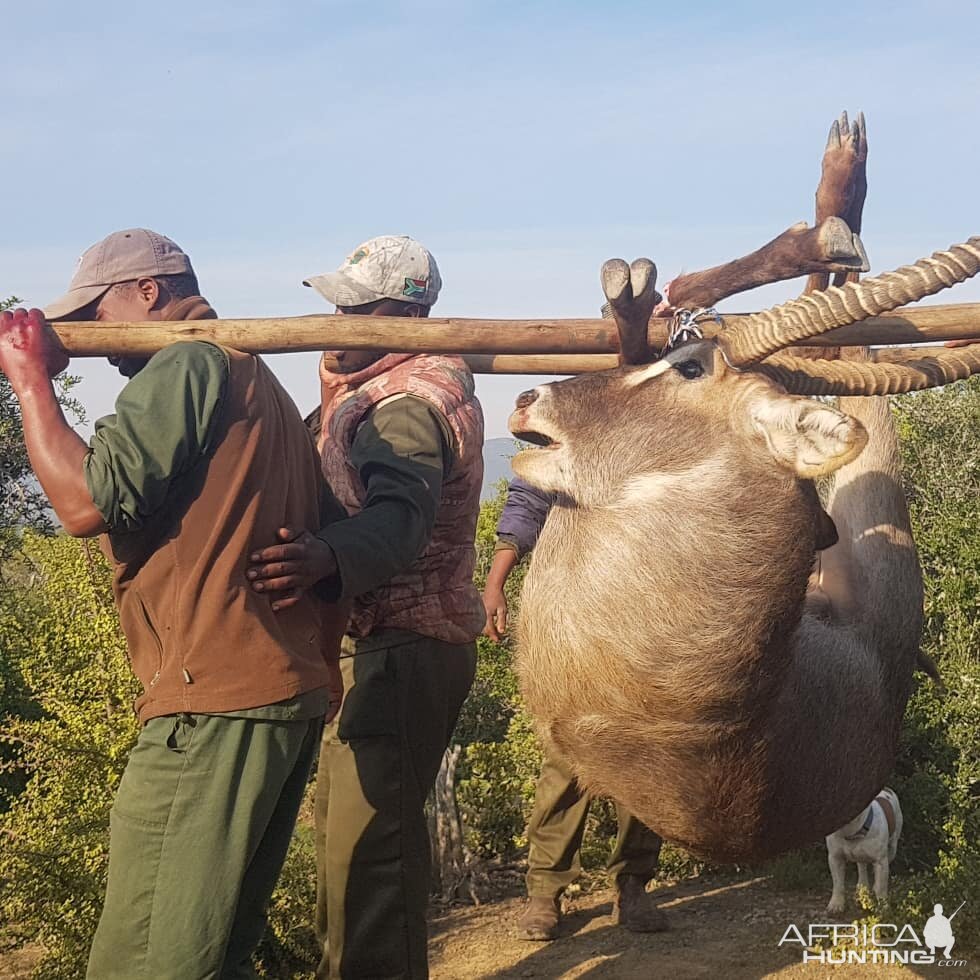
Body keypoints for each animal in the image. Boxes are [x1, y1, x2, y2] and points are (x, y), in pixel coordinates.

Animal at [824, 784, 900, 916]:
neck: (851, 832)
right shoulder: (835, 858)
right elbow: (838, 884)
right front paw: (836, 904)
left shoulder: (881, 861)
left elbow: (881, 886)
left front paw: (883, 907)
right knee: (862, 867)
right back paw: (862, 887)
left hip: (892, 847)